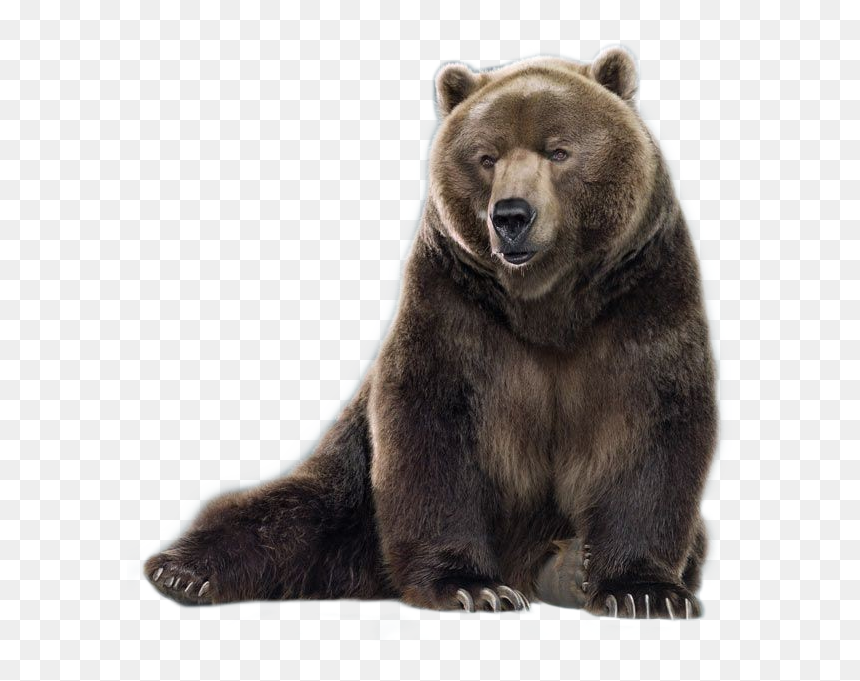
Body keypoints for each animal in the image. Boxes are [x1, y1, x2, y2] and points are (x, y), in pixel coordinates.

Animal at [144, 47, 717, 619]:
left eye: (559, 151)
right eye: (486, 157)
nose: (511, 215)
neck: (547, 303)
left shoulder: (641, 295)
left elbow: (650, 428)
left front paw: (644, 590)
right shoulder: (454, 305)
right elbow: (431, 428)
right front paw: (471, 585)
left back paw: (568, 567)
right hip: (352, 484)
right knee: (286, 513)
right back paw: (182, 570)